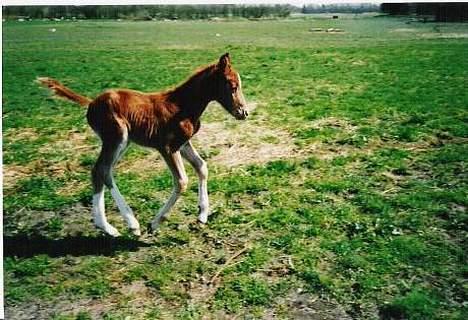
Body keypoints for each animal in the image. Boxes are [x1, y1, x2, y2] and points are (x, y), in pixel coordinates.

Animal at [37, 52, 249, 236]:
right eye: (232, 85)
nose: (244, 112)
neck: (182, 106)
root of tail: (90, 103)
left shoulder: (183, 144)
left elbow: (202, 167)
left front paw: (202, 215)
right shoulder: (167, 147)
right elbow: (182, 181)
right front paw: (155, 223)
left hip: (121, 142)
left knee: (100, 171)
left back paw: (107, 227)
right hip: (117, 138)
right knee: (103, 169)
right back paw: (129, 224)